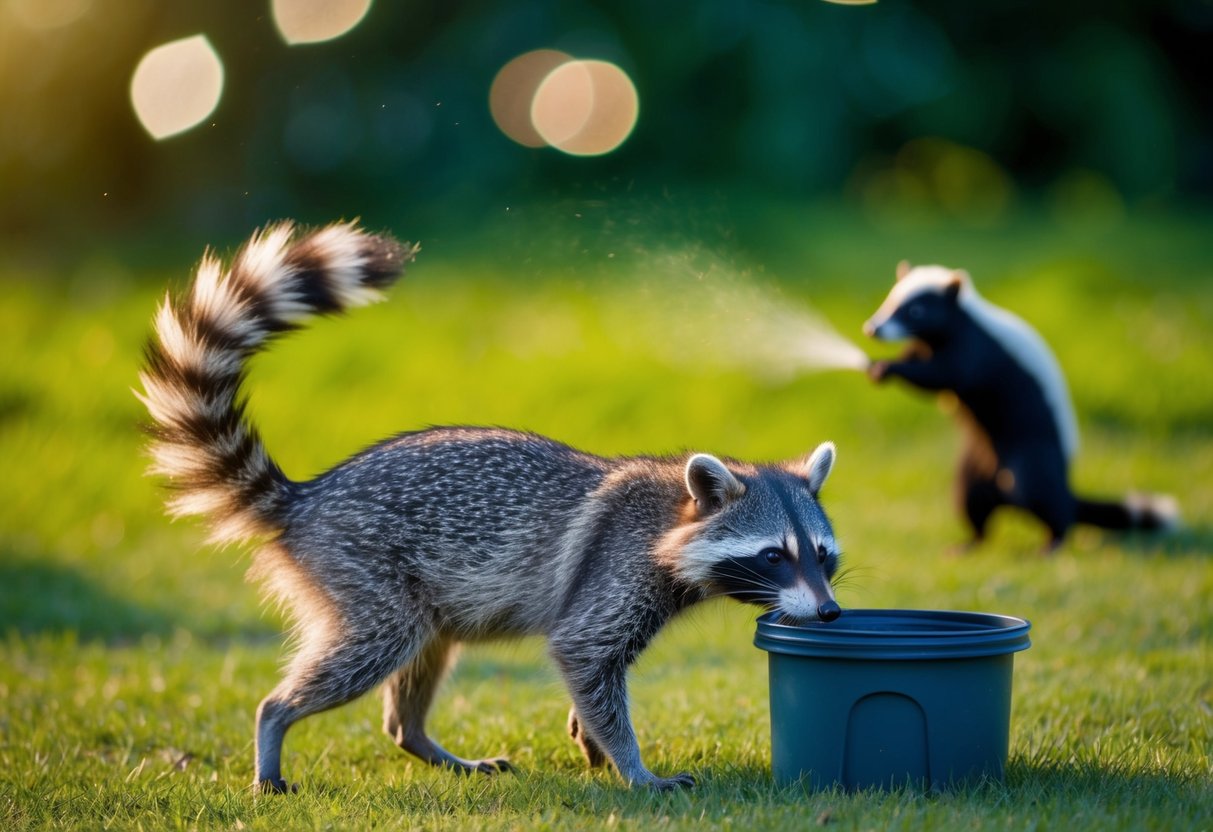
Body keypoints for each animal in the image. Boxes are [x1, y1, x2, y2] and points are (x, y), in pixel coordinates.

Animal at [137, 221, 845, 793]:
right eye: (774, 556)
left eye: (823, 556)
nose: (831, 613)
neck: (676, 514)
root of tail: (307, 498)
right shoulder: (617, 567)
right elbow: (582, 650)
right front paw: (635, 766)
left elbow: (591, 671)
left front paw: (590, 735)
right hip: (362, 568)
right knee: (367, 649)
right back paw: (275, 722)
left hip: (424, 594)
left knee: (417, 666)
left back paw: (420, 740)